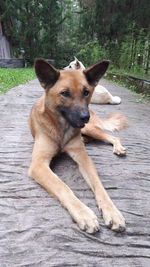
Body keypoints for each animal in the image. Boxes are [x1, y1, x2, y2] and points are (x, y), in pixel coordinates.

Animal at [28, 59, 126, 234]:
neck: (62, 129)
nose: (85, 117)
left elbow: (99, 185)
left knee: (112, 136)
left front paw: (113, 212)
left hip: (90, 128)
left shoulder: (83, 158)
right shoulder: (38, 164)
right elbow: (62, 186)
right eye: (64, 93)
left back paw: (117, 148)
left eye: (86, 92)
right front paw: (84, 214)